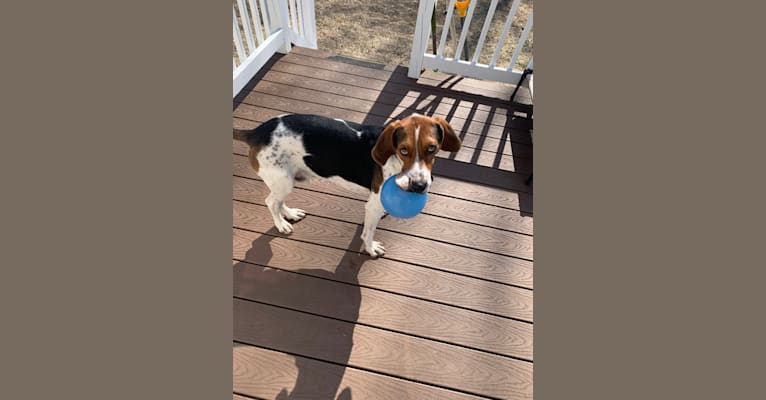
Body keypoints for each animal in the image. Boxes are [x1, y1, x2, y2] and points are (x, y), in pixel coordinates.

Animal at [234, 113, 462, 256]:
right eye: (403, 150)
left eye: (432, 148)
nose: (419, 186)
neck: (394, 160)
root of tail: (256, 132)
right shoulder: (373, 205)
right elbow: (368, 233)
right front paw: (371, 249)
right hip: (282, 181)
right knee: (271, 202)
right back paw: (281, 224)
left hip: (286, 180)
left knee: (278, 202)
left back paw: (289, 214)